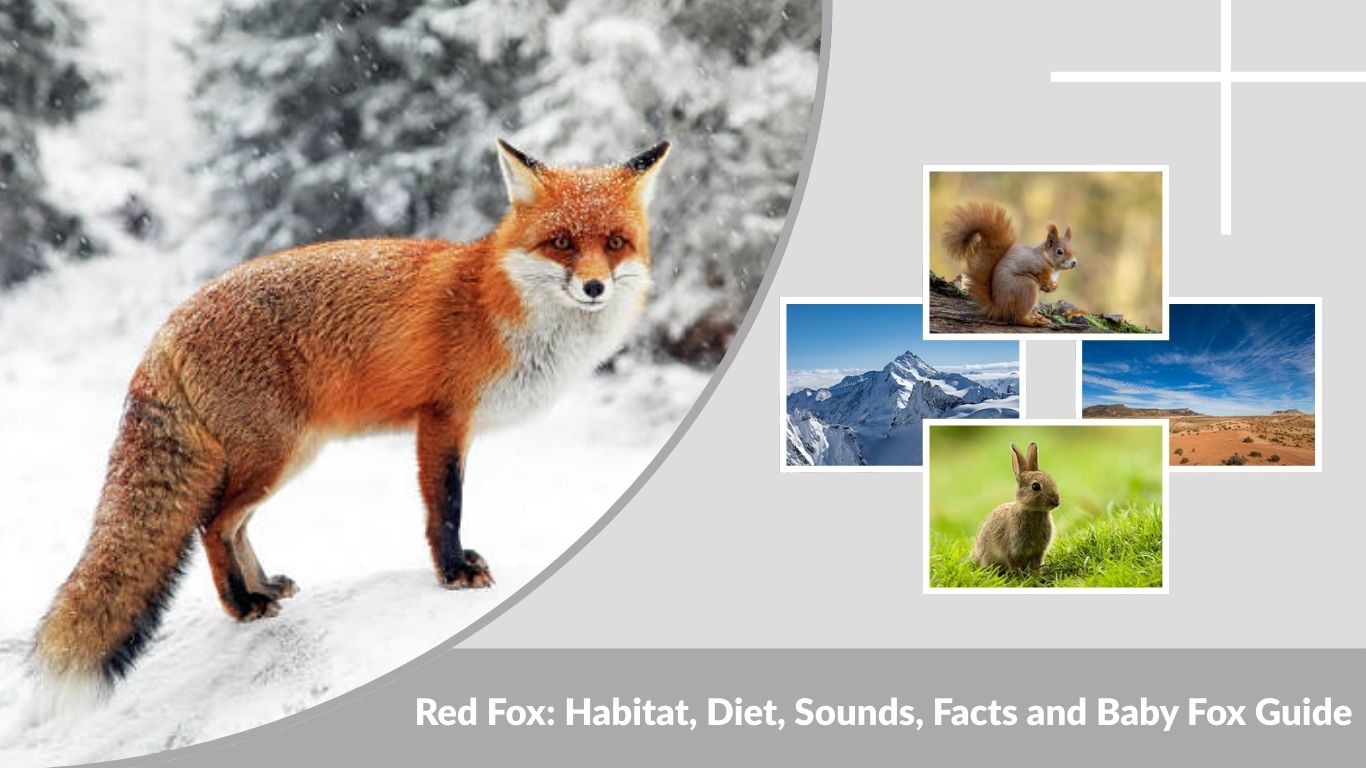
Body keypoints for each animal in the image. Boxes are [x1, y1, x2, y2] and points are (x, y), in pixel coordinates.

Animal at [31, 138, 670, 717]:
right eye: (561, 243)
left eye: (615, 244)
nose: (594, 287)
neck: (499, 306)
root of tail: (168, 326)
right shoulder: (443, 418)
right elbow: (445, 507)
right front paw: (452, 572)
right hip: (273, 457)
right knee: (212, 525)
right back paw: (242, 605)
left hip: (287, 459)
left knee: (234, 527)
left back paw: (262, 588)